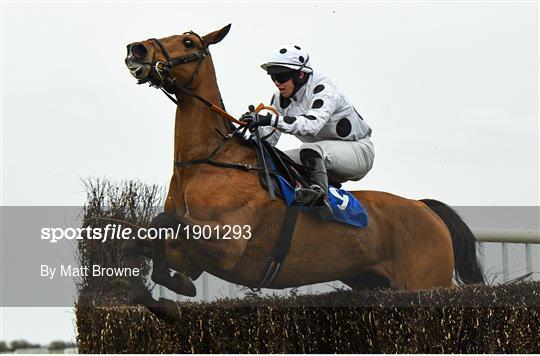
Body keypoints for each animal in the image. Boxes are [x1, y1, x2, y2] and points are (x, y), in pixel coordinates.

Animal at [123, 24, 486, 322]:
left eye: (188, 41)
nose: (136, 49)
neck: (207, 162)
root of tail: (425, 208)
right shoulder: (191, 256)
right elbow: (144, 238)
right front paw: (160, 295)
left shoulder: (228, 246)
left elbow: (162, 221)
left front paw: (175, 288)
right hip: (375, 283)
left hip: (426, 281)